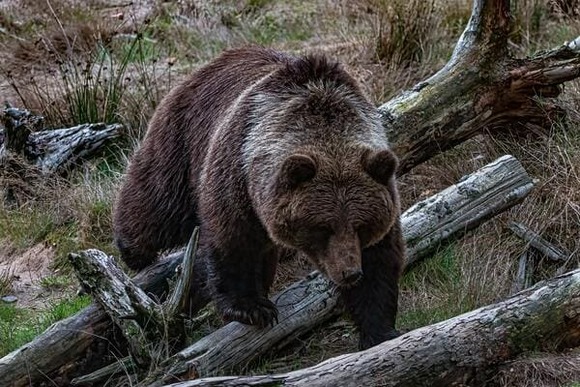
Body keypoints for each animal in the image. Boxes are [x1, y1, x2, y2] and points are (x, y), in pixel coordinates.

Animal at [112, 46, 404, 352]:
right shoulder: (236, 174)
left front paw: (380, 330)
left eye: (362, 226)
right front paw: (252, 308)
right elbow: (235, 242)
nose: (350, 273)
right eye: (323, 228)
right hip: (183, 140)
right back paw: (133, 250)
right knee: (159, 202)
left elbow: (380, 259)